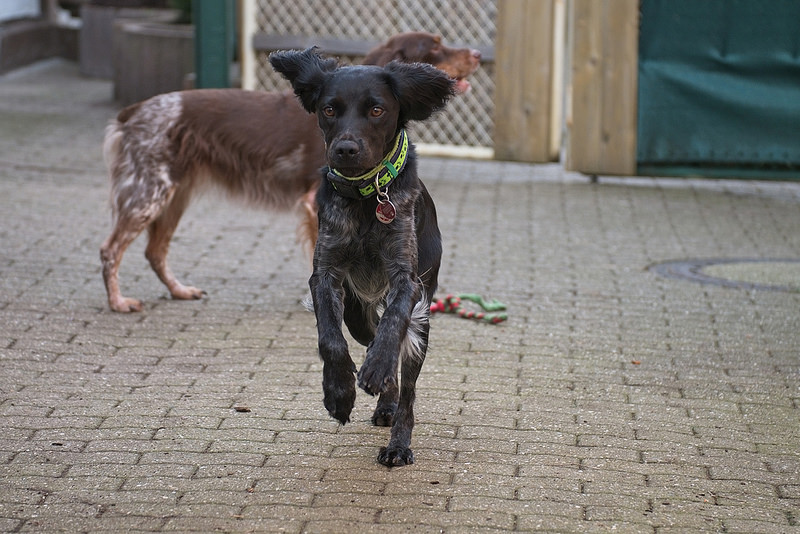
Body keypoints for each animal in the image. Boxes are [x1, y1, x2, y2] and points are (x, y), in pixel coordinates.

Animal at [97, 30, 478, 314]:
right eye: (434, 48)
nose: (476, 53)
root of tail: (134, 111)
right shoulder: (315, 203)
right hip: (148, 194)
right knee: (110, 249)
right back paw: (118, 302)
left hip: (172, 196)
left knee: (154, 251)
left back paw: (179, 291)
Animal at [270, 50, 454, 468]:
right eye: (328, 109)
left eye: (376, 109)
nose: (346, 149)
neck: (368, 197)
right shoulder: (325, 274)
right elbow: (330, 340)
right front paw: (338, 393)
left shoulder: (407, 281)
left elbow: (394, 324)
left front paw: (378, 366)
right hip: (356, 312)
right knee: (367, 336)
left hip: (422, 321)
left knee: (407, 384)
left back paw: (398, 442)